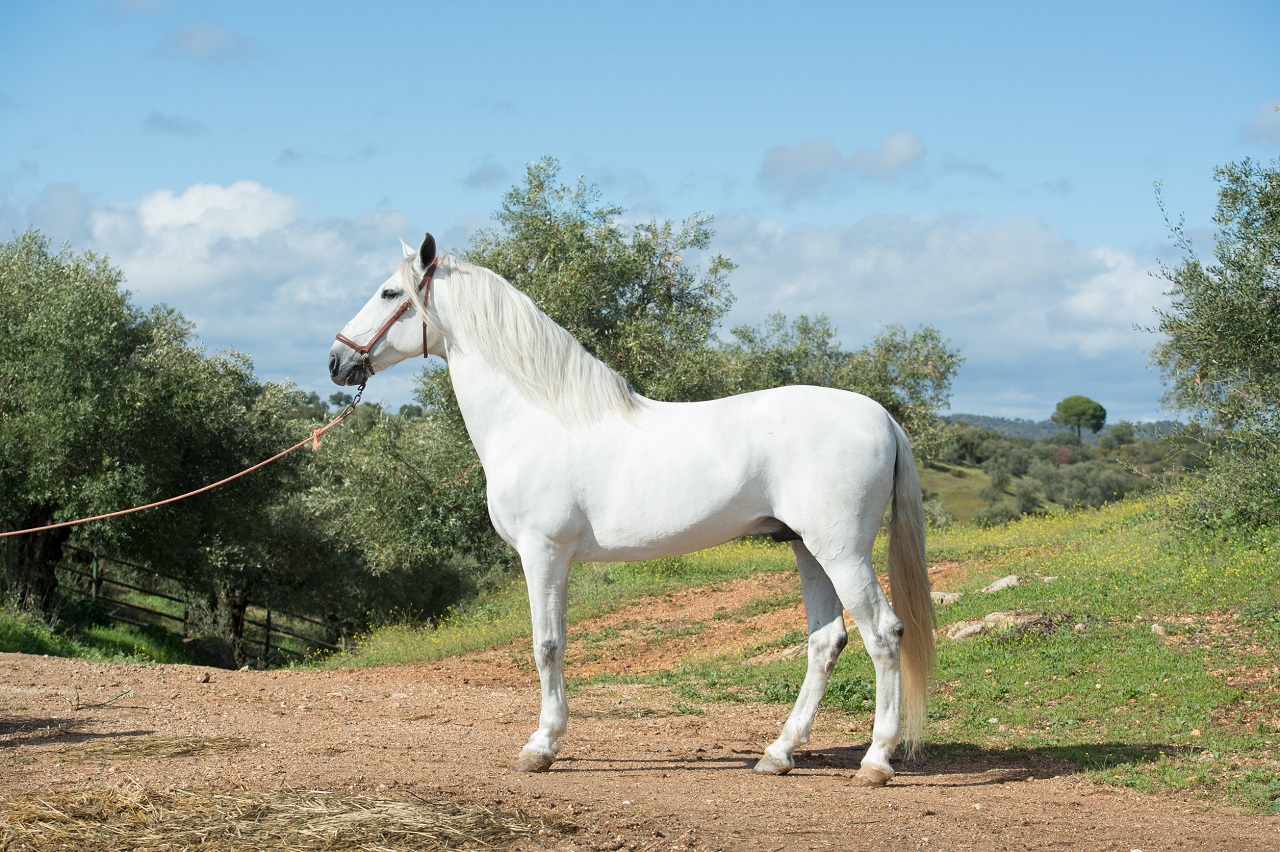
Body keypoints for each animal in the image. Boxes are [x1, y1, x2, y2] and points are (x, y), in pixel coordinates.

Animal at [329, 233, 935, 786]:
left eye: (389, 293)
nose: (336, 360)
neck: (536, 417)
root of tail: (880, 415)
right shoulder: (555, 559)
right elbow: (556, 642)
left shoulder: (542, 553)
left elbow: (546, 645)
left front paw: (541, 746)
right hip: (807, 549)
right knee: (825, 642)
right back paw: (778, 753)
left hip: (842, 552)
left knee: (883, 635)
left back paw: (876, 760)